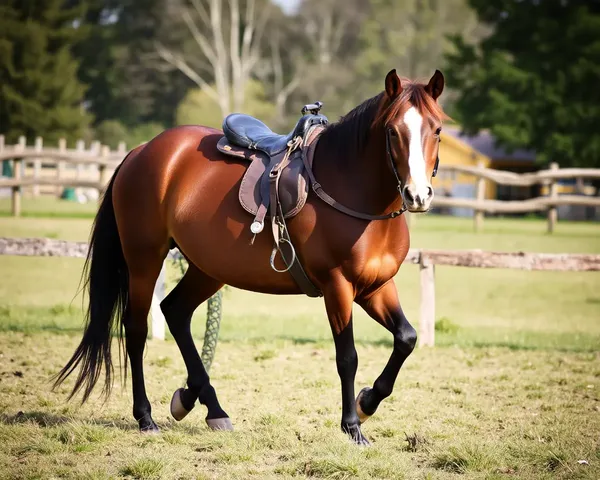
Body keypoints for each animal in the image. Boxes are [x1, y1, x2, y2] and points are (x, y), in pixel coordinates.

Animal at [54, 68, 446, 446]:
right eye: (393, 131)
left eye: (438, 129)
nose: (417, 195)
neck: (351, 191)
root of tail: (141, 151)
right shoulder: (337, 287)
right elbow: (347, 357)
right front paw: (352, 426)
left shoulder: (376, 286)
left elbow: (407, 338)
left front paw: (366, 404)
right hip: (144, 259)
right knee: (136, 328)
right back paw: (146, 417)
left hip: (208, 268)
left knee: (175, 311)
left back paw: (205, 404)